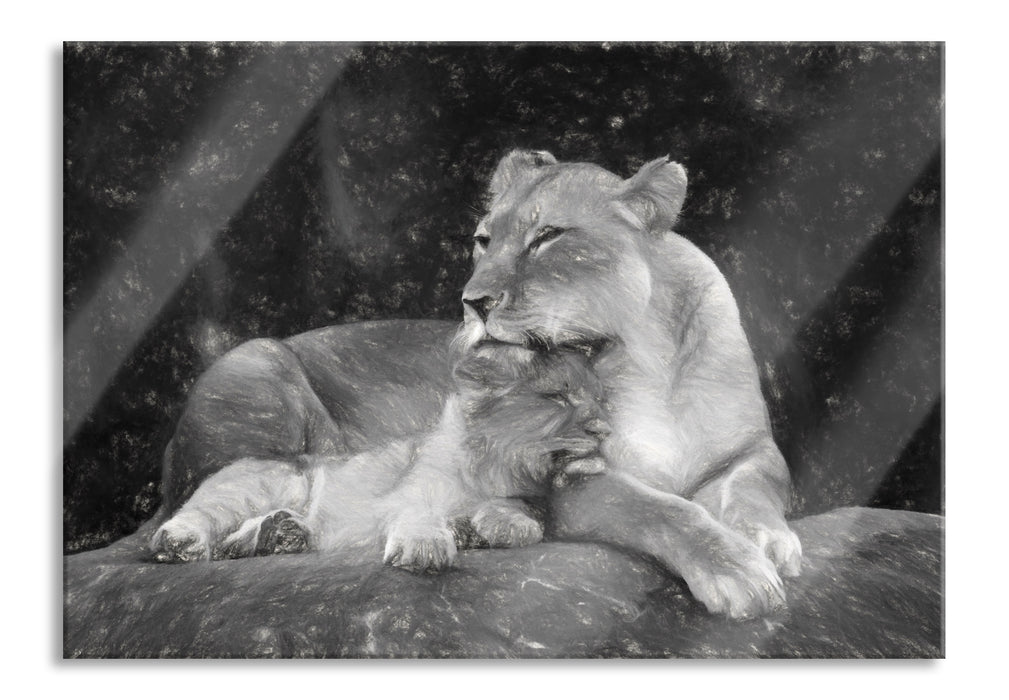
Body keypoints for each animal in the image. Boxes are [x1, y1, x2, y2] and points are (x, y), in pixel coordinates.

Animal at [150, 345, 609, 569]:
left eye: (601, 399)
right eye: (557, 396)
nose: (605, 429)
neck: (492, 469)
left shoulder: (526, 496)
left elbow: (524, 514)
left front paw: (496, 526)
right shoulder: (406, 495)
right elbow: (419, 512)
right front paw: (426, 546)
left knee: (238, 540)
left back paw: (282, 533)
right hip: (260, 486)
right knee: (203, 516)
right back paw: (181, 542)